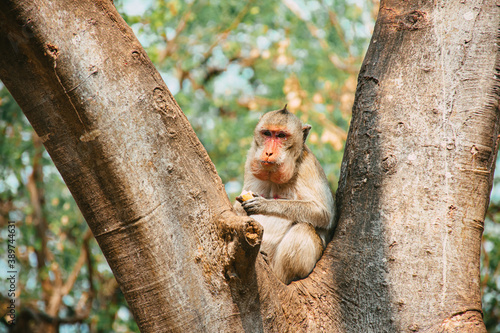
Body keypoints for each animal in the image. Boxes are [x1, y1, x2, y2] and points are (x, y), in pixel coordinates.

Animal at [235, 105, 336, 282]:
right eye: (267, 133)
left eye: (281, 136)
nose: (268, 152)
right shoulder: (251, 160)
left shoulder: (308, 166)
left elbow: (323, 213)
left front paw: (265, 204)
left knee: (303, 228)